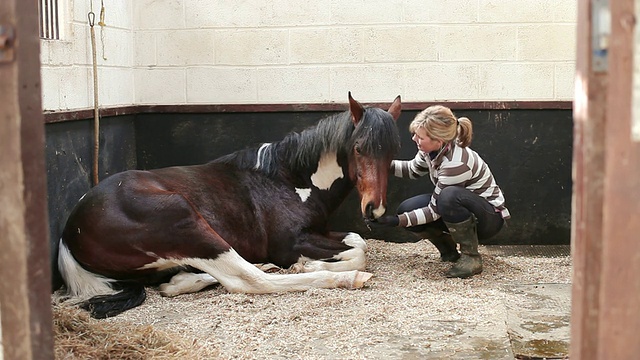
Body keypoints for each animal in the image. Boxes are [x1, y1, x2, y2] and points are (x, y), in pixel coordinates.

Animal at [57, 93, 402, 318]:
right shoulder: (290, 244)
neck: (289, 179)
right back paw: (341, 278)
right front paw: (313, 265)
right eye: (359, 148)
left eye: (393, 150)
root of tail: (69, 235)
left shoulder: (319, 231)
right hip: (186, 220)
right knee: (249, 281)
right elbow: (359, 254)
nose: (375, 209)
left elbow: (358, 242)